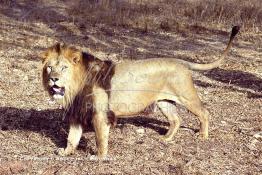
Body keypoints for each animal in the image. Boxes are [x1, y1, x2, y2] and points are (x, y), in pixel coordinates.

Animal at [41, 26, 239, 159]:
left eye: (64, 68)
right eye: (50, 68)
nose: (54, 79)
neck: (74, 87)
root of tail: (180, 62)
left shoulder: (100, 114)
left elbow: (100, 138)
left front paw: (99, 157)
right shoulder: (77, 113)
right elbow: (72, 138)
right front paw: (65, 152)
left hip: (187, 97)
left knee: (204, 112)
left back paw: (203, 135)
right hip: (164, 102)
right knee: (176, 120)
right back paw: (166, 138)